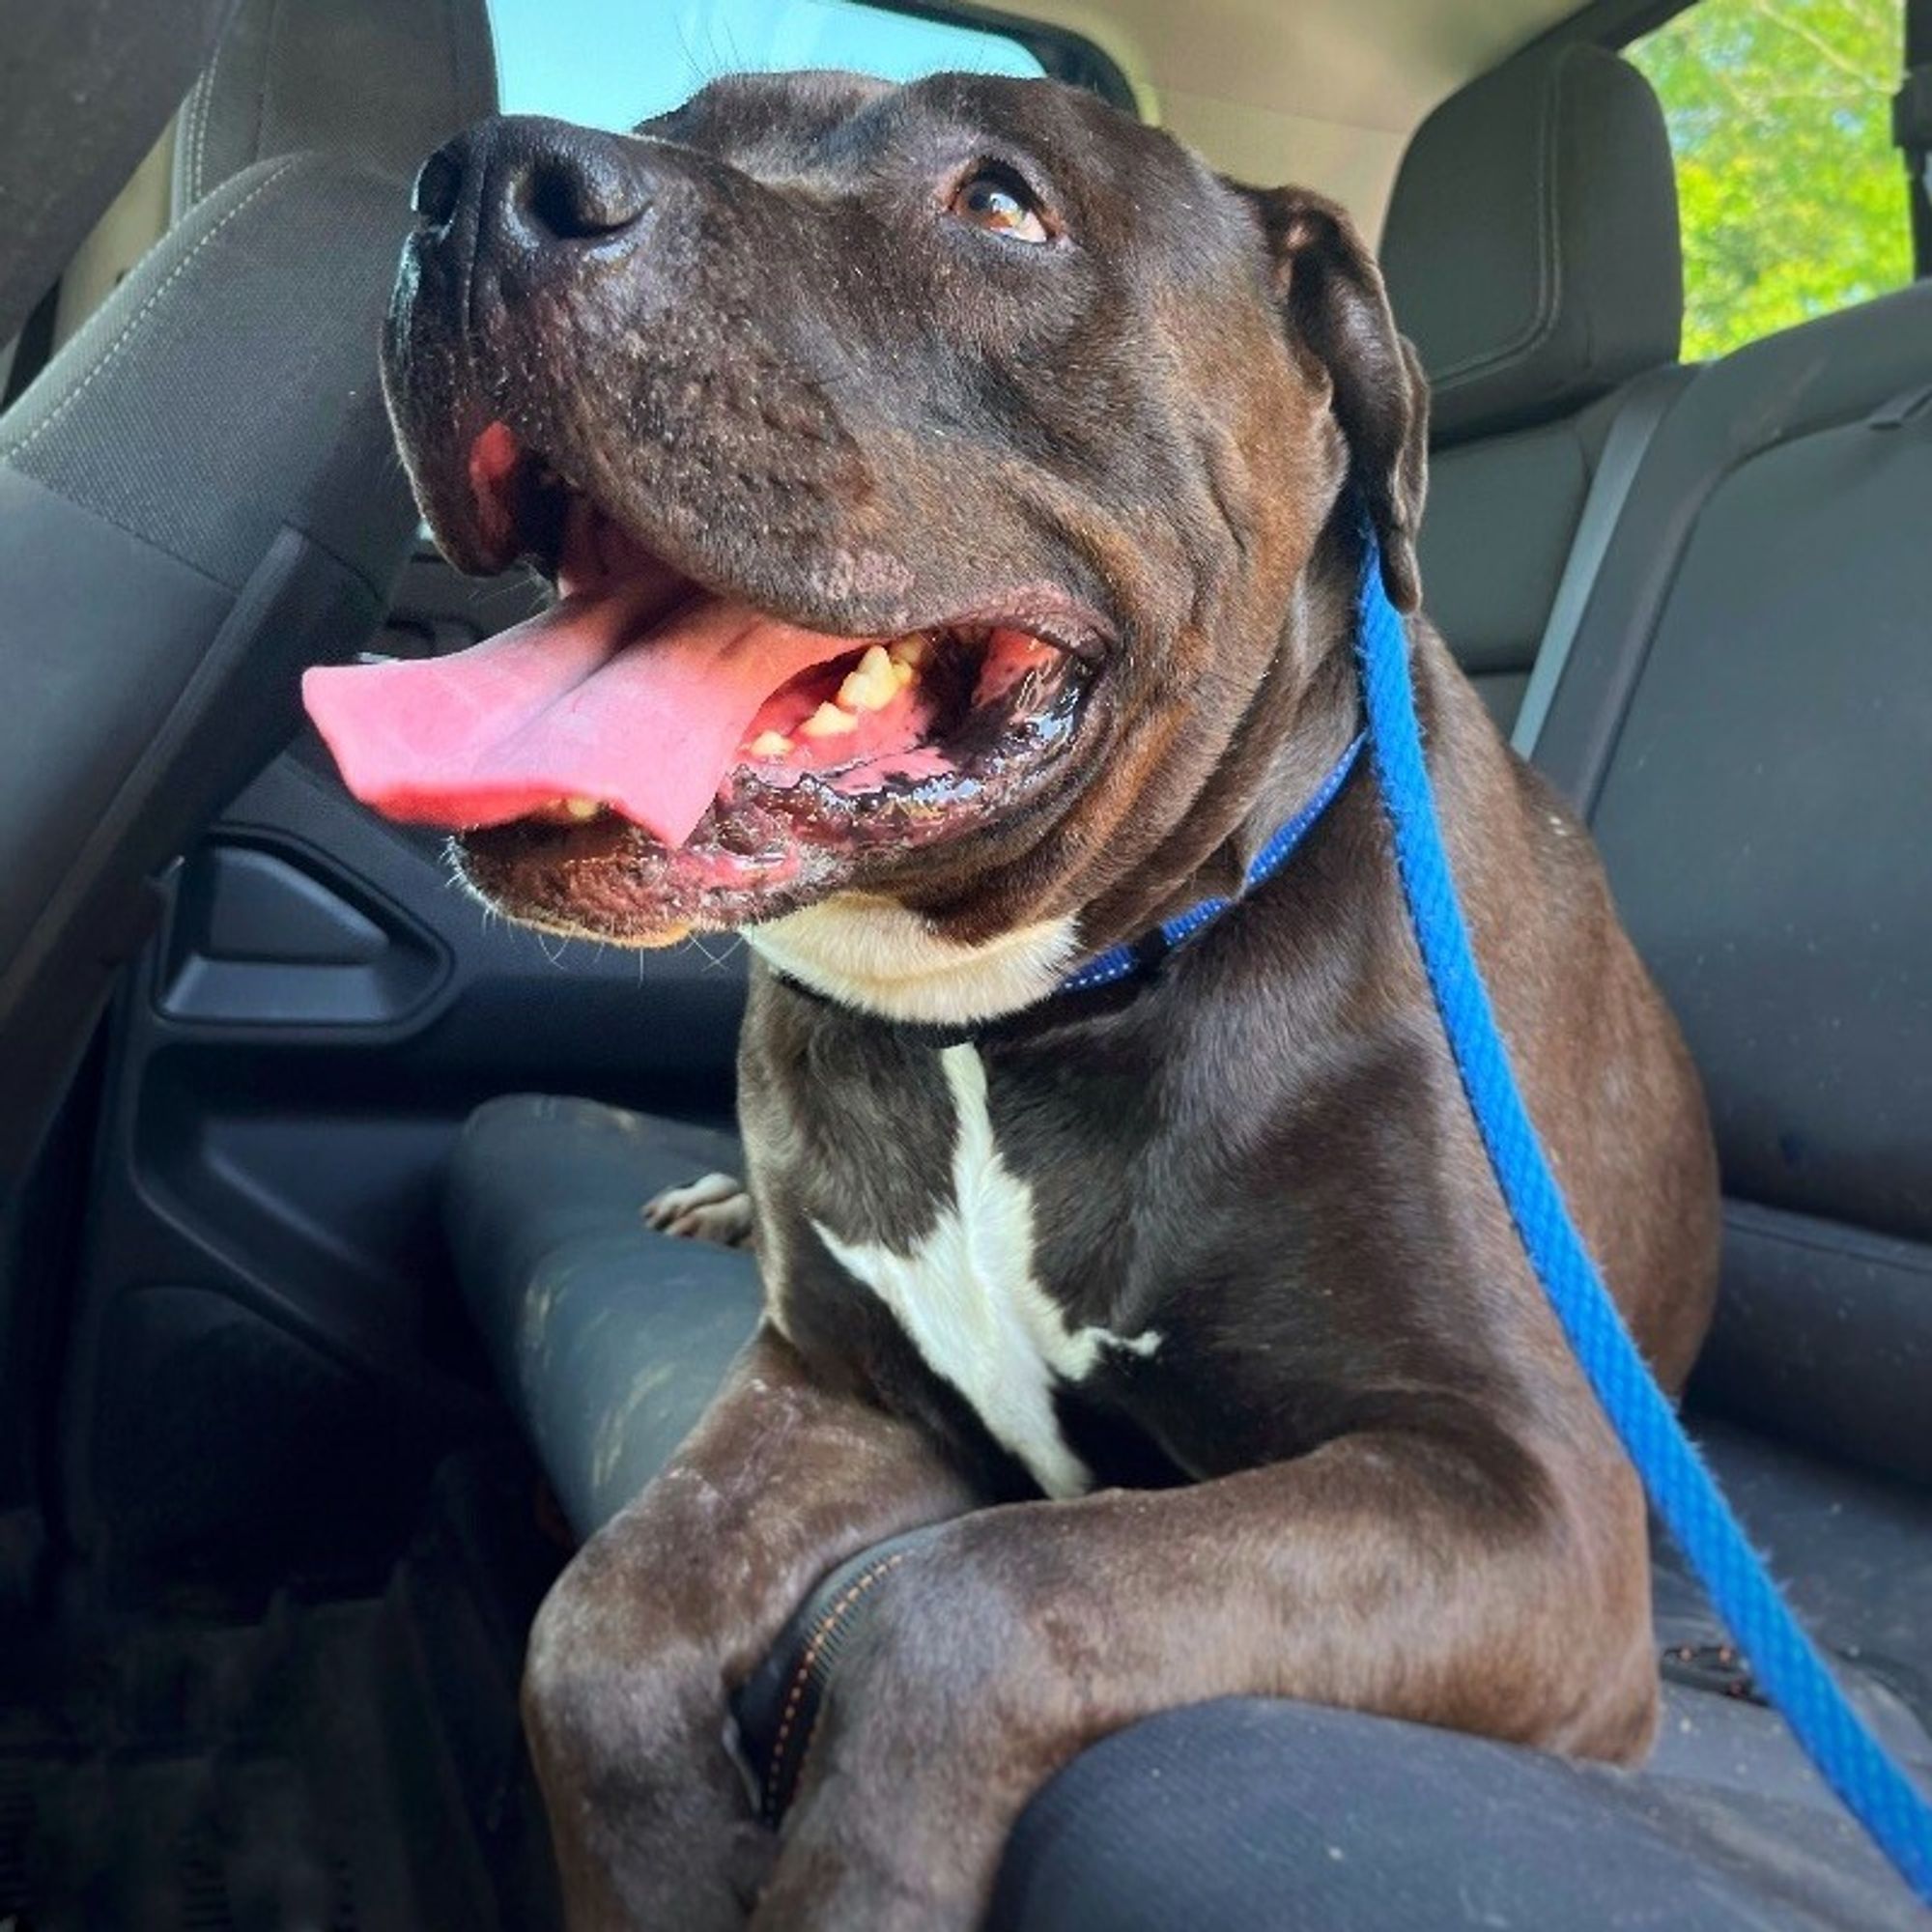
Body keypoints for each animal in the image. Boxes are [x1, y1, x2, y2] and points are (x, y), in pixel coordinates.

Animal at [301, 68, 1723, 1924]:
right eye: (679, 115)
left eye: (999, 205)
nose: (476, 184)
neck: (1006, 1019)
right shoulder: (824, 1390)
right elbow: (594, 1624)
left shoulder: (1519, 1502)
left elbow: (974, 1600)